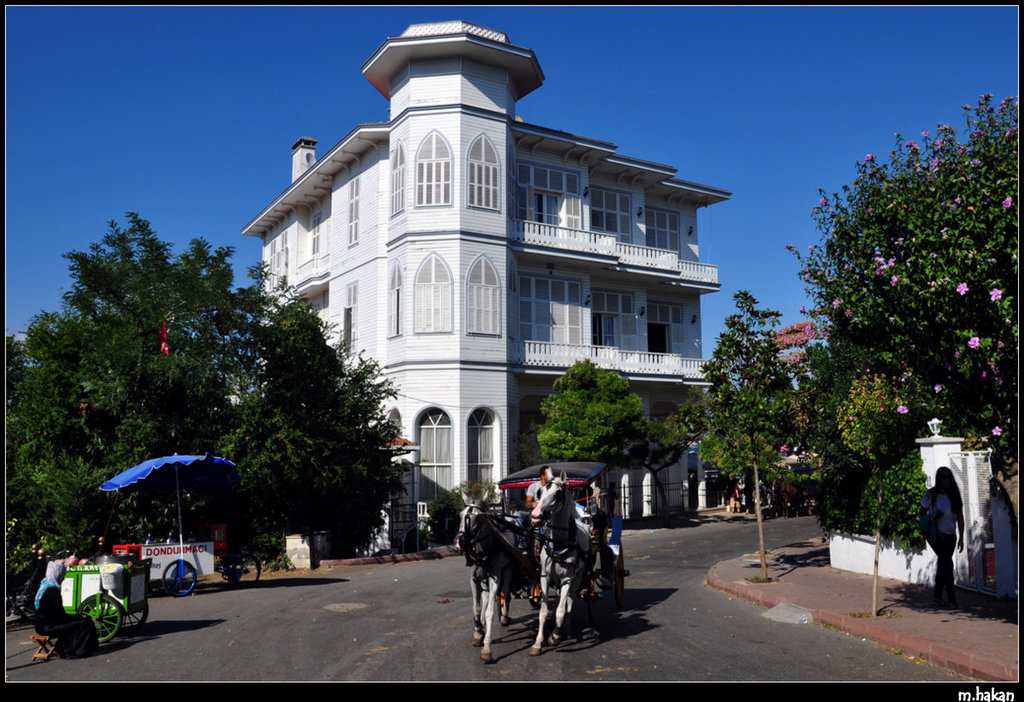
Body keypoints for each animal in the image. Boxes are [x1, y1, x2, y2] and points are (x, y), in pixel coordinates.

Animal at [458, 495, 520, 667]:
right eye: (461, 515)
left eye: (477, 519)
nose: (460, 542)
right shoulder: (473, 579)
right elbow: (477, 608)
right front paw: (478, 631)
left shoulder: (495, 579)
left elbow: (489, 612)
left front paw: (486, 649)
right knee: (485, 598)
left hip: (508, 569)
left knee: (505, 592)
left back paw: (505, 616)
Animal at [532, 470, 589, 659]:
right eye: (540, 492)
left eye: (558, 493)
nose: (535, 515)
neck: (558, 544)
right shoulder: (545, 577)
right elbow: (544, 611)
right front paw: (537, 643)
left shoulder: (567, 580)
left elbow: (561, 611)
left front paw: (555, 636)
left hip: (577, 578)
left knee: (568, 602)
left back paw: (567, 630)